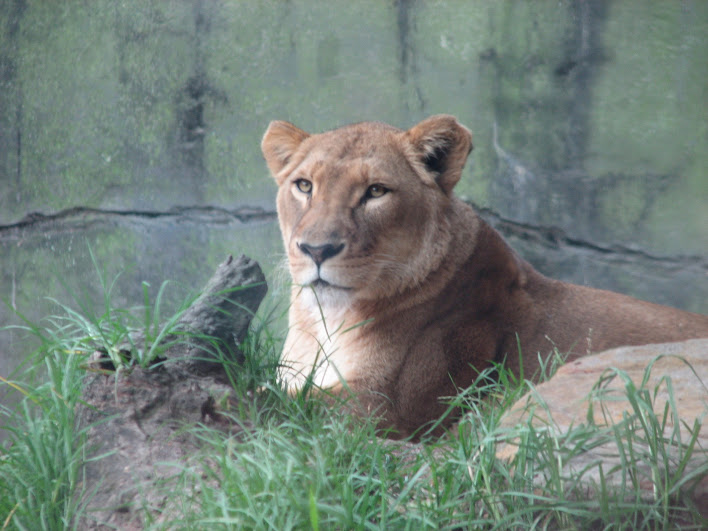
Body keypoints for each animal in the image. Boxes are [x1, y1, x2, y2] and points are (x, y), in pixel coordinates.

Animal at [261, 114, 708, 437]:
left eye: (375, 191)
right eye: (304, 186)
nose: (317, 250)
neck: (326, 322)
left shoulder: (391, 408)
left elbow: (291, 400)